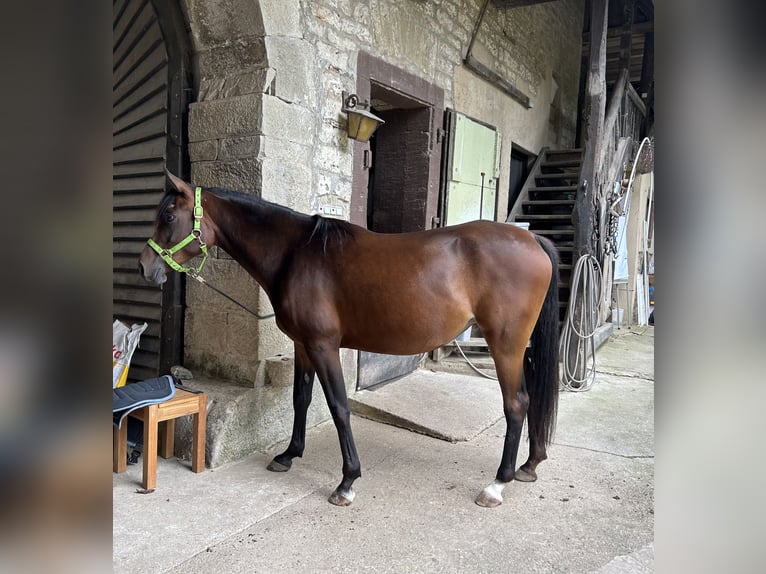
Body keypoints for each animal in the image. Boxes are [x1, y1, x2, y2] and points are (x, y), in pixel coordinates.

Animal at [140, 171, 560, 508]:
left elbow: (339, 407)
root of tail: (533, 240)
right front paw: (289, 455)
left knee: (517, 404)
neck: (297, 253)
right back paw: (529, 464)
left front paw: (347, 481)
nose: (146, 267)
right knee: (531, 400)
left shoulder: (324, 346)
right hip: (520, 348)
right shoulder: (302, 345)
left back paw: (497, 484)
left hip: (505, 345)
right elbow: (301, 399)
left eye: (169, 216)